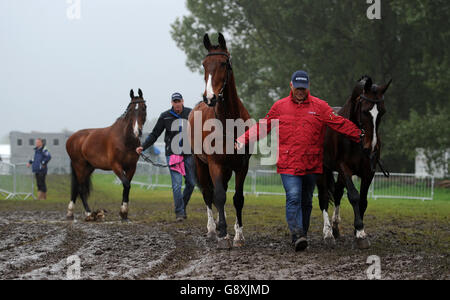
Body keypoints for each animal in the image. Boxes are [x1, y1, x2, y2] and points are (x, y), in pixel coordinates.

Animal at [66, 88, 147, 220]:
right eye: (130, 110)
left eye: (144, 108)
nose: (137, 131)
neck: (125, 139)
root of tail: (71, 138)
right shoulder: (116, 166)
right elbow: (126, 184)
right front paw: (123, 211)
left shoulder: (131, 167)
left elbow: (127, 186)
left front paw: (124, 213)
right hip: (79, 165)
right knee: (81, 188)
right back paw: (88, 213)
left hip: (89, 167)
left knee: (77, 188)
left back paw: (70, 213)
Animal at [188, 32, 253, 250]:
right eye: (204, 64)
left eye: (224, 63)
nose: (210, 97)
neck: (228, 122)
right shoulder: (215, 164)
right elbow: (218, 196)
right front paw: (223, 233)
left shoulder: (242, 165)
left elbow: (237, 198)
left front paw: (239, 236)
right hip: (200, 163)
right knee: (209, 194)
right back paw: (212, 229)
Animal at [316, 76, 390, 250]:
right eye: (365, 111)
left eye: (382, 112)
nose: (372, 147)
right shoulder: (345, 168)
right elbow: (354, 196)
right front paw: (360, 233)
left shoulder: (369, 171)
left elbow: (363, 200)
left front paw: (358, 232)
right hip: (323, 169)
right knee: (324, 197)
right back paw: (328, 233)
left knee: (337, 193)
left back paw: (335, 228)